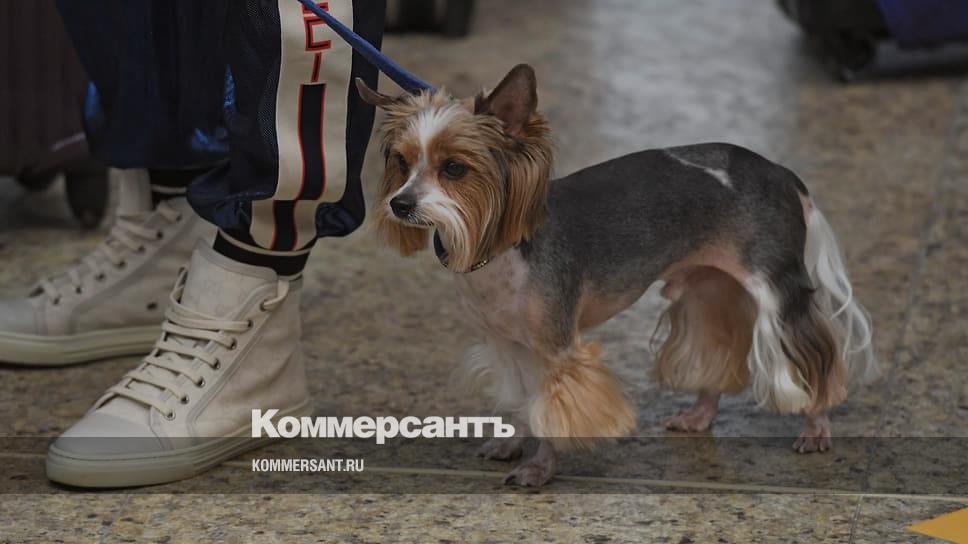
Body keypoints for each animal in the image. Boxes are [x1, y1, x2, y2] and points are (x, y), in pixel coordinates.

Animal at [357, 64, 876, 487]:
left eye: (454, 168)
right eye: (402, 162)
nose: (400, 204)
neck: (501, 246)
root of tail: (781, 172)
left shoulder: (557, 348)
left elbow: (555, 409)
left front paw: (540, 468)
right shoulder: (508, 344)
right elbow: (522, 401)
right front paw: (512, 442)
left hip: (776, 292)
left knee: (815, 355)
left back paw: (816, 425)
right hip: (710, 288)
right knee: (717, 345)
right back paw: (700, 414)